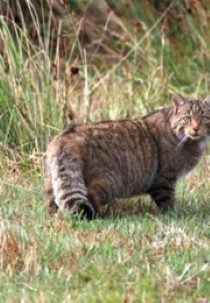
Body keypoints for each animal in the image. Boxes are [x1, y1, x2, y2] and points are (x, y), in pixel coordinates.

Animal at [44, 94, 210, 220]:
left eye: (205, 118)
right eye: (187, 118)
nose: (196, 128)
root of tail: (65, 138)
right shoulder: (164, 180)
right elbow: (168, 202)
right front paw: (175, 214)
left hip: (56, 179)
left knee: (53, 198)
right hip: (110, 182)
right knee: (90, 195)